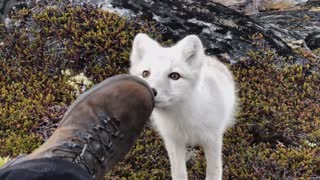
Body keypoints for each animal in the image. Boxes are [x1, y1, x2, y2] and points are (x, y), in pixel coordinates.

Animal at [129, 33, 236, 180]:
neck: (183, 119)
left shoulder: (212, 139)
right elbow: (178, 172)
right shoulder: (174, 141)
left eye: (175, 76)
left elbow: (214, 171)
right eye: (146, 73)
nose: (151, 90)